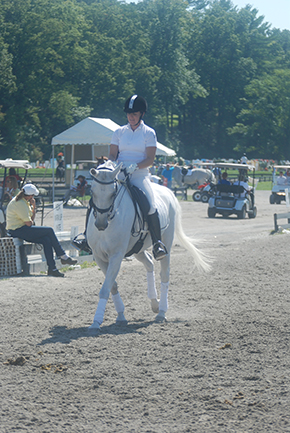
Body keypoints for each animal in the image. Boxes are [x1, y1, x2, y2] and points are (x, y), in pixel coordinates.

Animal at [86, 162, 211, 330]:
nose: (100, 224)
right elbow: (112, 286)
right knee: (149, 263)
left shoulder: (116, 256)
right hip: (137, 249)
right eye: (92, 191)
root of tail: (168, 191)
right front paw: (121, 316)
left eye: (113, 194)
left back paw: (161, 312)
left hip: (166, 242)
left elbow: (106, 288)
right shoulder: (99, 256)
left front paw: (96, 322)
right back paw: (154, 304)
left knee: (164, 274)